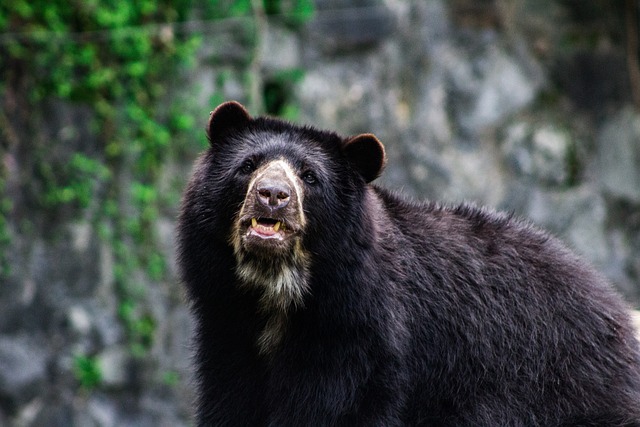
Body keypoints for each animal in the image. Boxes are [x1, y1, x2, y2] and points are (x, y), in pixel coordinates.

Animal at [178, 101, 640, 427]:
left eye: (309, 176)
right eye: (248, 166)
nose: (273, 195)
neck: (279, 295)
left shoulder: (360, 339)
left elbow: (337, 409)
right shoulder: (228, 327)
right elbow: (232, 399)